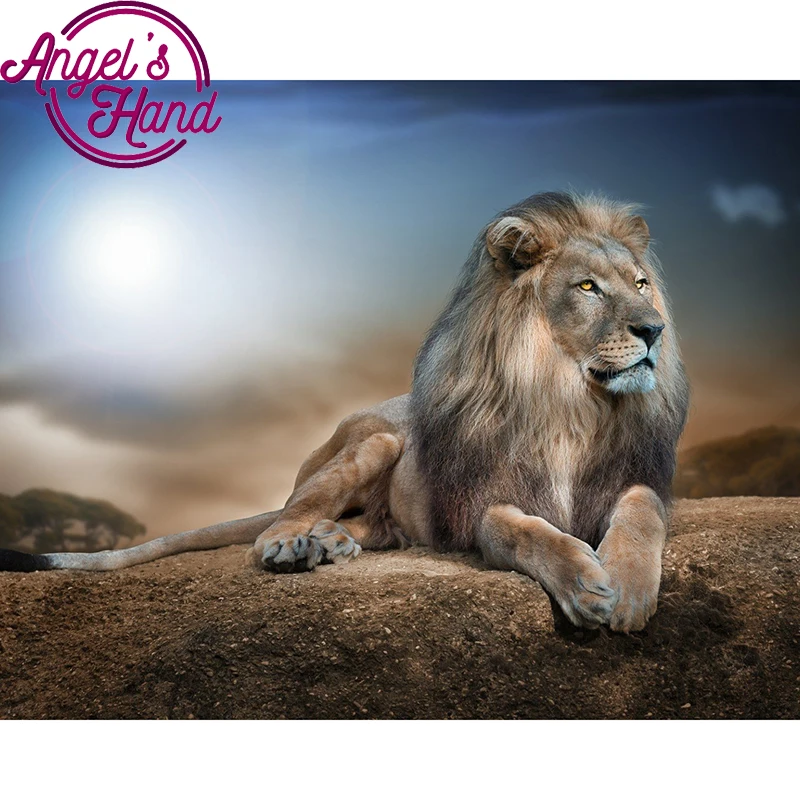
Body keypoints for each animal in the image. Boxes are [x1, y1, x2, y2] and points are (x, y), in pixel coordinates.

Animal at [0, 192, 689, 632]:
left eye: (641, 283)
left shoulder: (632, 478)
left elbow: (642, 511)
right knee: (277, 522)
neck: (570, 402)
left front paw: (627, 587)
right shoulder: (481, 505)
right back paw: (294, 545)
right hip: (374, 443)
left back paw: (330, 543)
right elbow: (527, 532)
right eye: (587, 287)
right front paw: (585, 584)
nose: (653, 330)